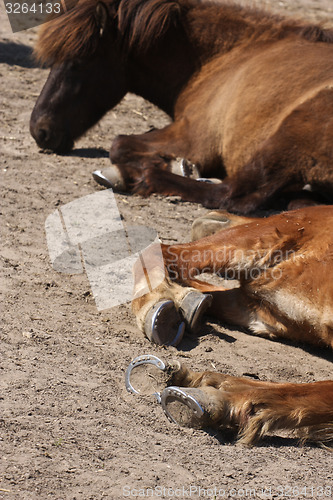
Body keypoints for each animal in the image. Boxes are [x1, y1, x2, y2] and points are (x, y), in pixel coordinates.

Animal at [29, 0, 332, 213]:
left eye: (77, 62)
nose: (39, 130)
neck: (230, 54)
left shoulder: (193, 137)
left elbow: (119, 143)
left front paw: (169, 164)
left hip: (287, 136)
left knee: (232, 195)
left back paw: (138, 176)